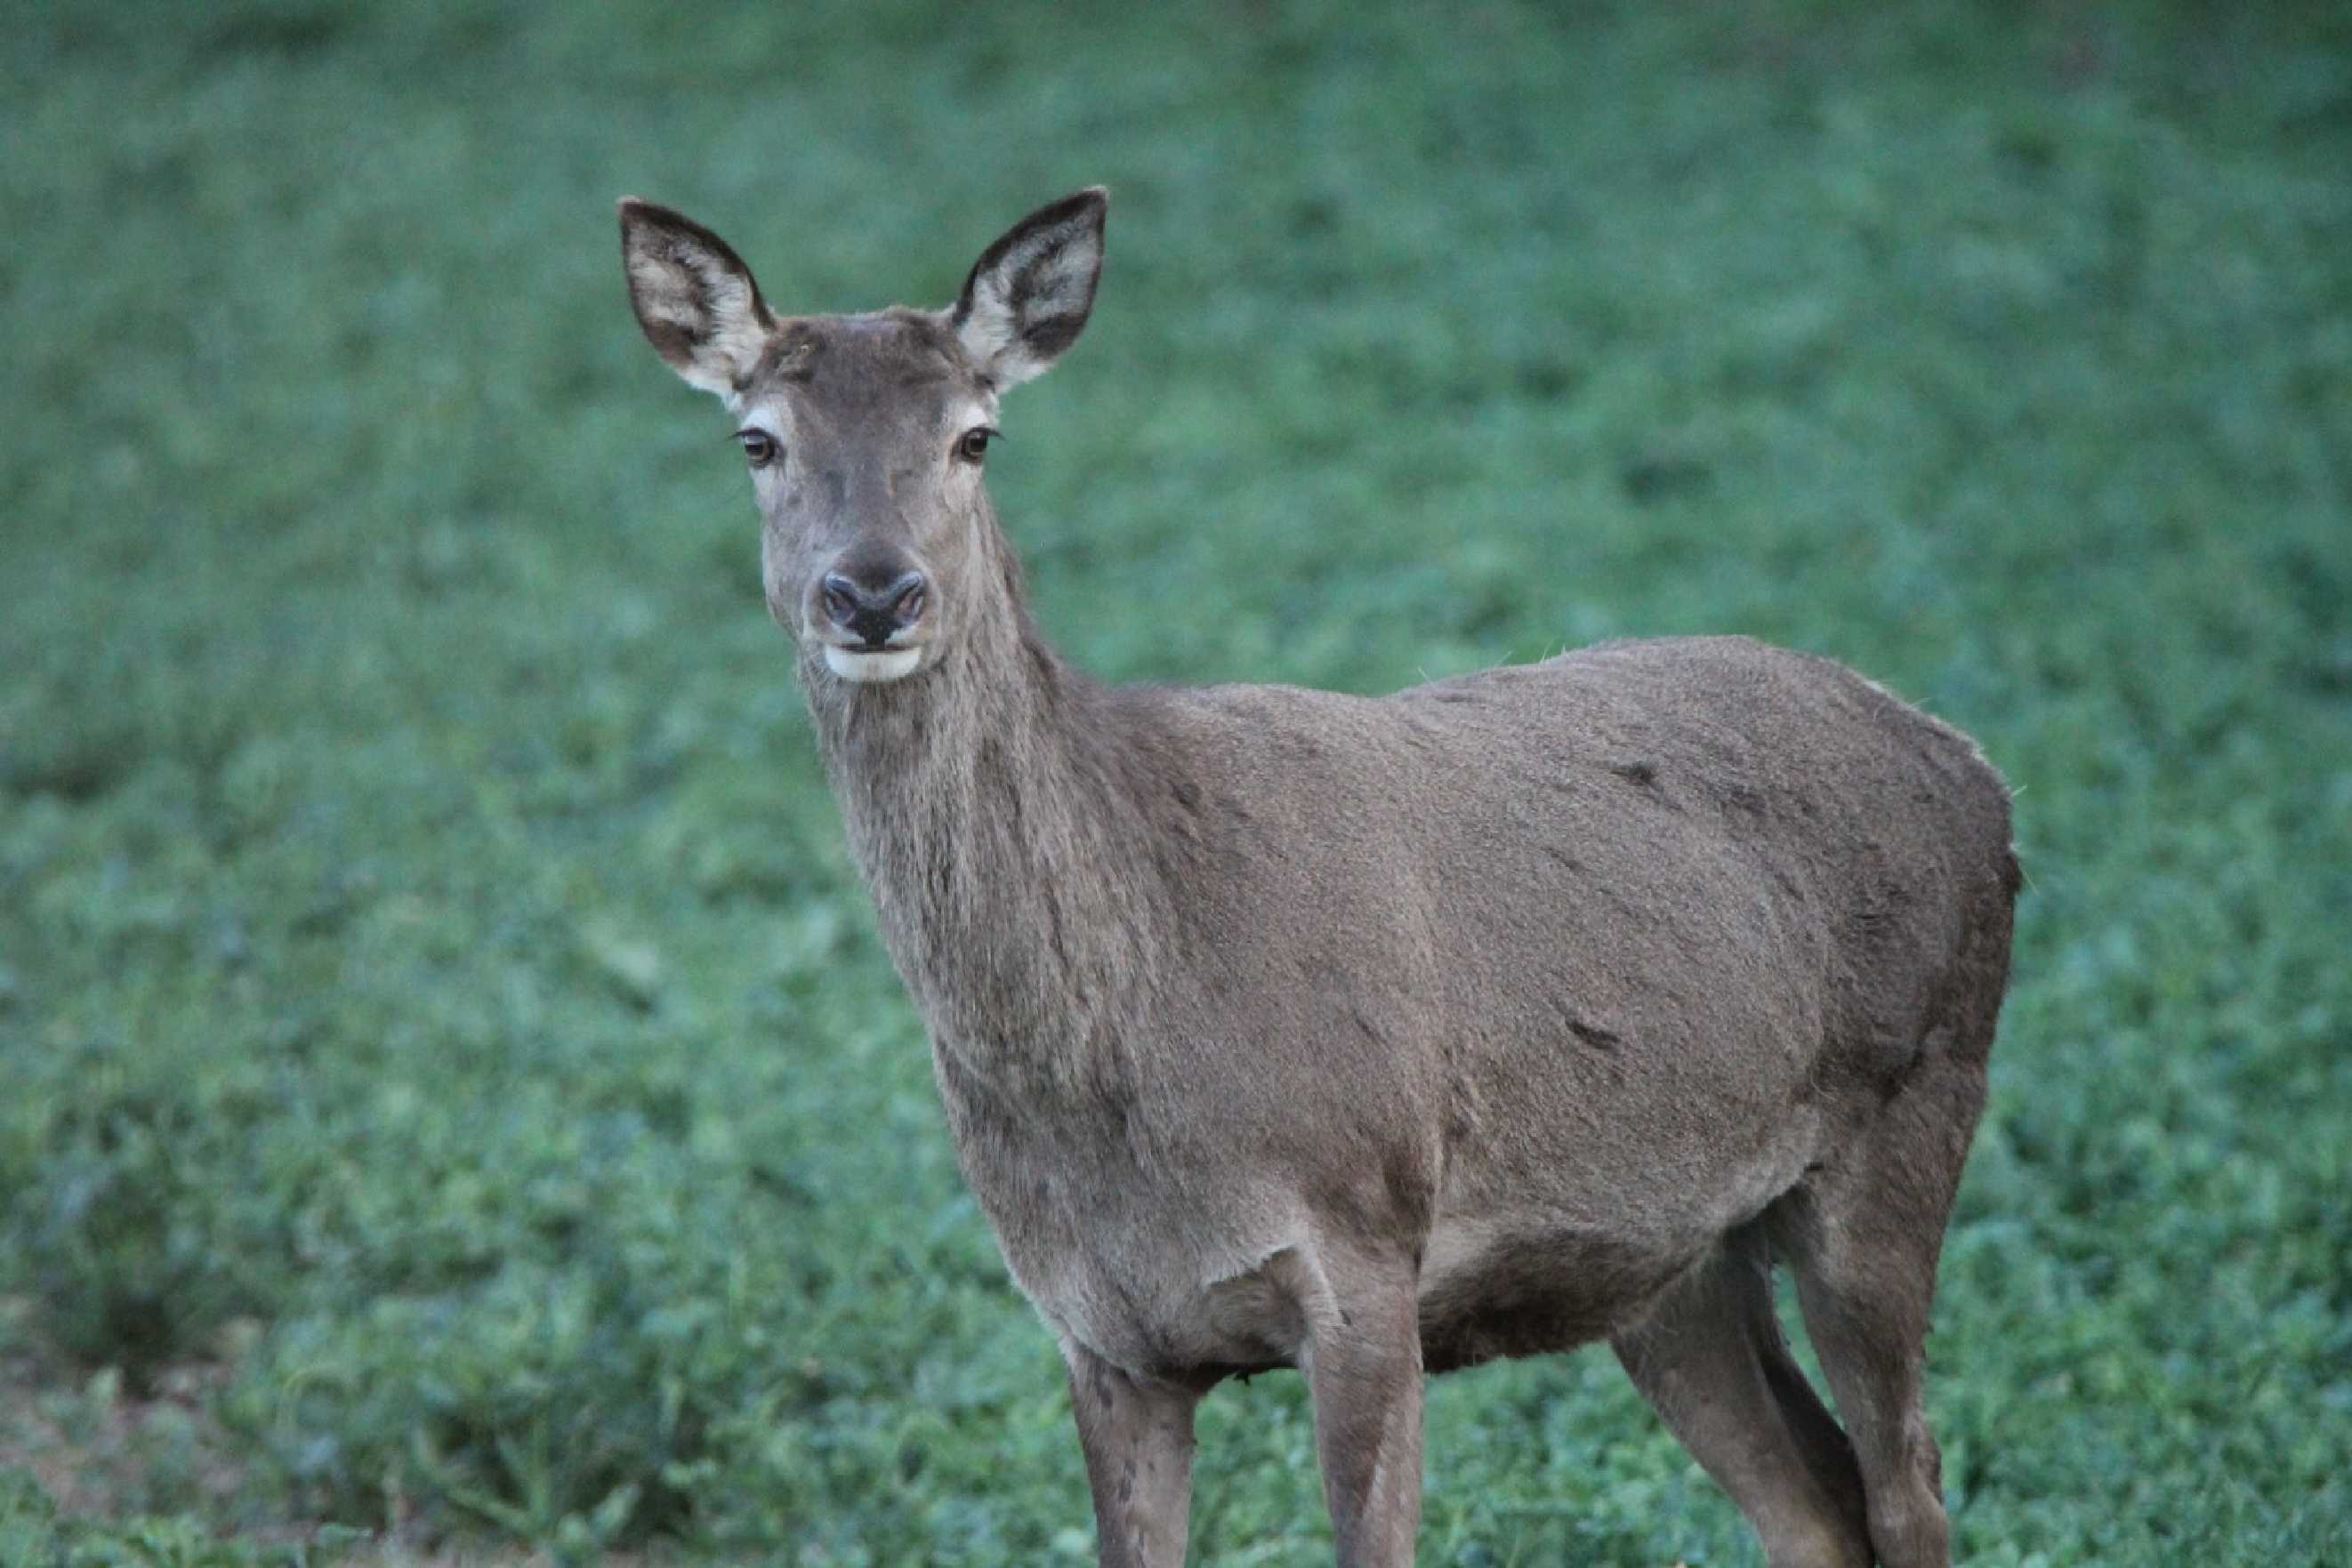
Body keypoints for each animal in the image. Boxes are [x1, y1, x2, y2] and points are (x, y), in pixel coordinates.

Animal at [621, 187, 2022, 1568]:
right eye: (756, 441)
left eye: (976, 436)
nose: (871, 592)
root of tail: (1980, 776)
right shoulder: (1099, 1331)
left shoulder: (1365, 1252)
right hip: (1672, 1256)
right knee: (1816, 1505)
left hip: (1909, 1113)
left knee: (1910, 1484)